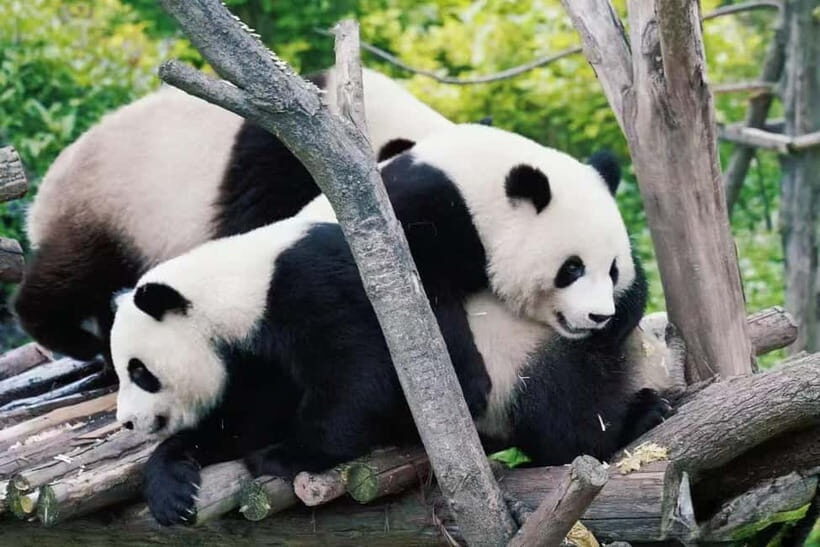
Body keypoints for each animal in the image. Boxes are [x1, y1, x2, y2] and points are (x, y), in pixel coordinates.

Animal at [109, 124, 671, 525]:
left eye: (140, 372)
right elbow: (252, 414)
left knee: (565, 410)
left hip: (532, 356)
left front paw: (286, 455)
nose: (129, 422)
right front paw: (173, 483)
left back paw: (638, 415)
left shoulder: (313, 285)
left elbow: (363, 378)